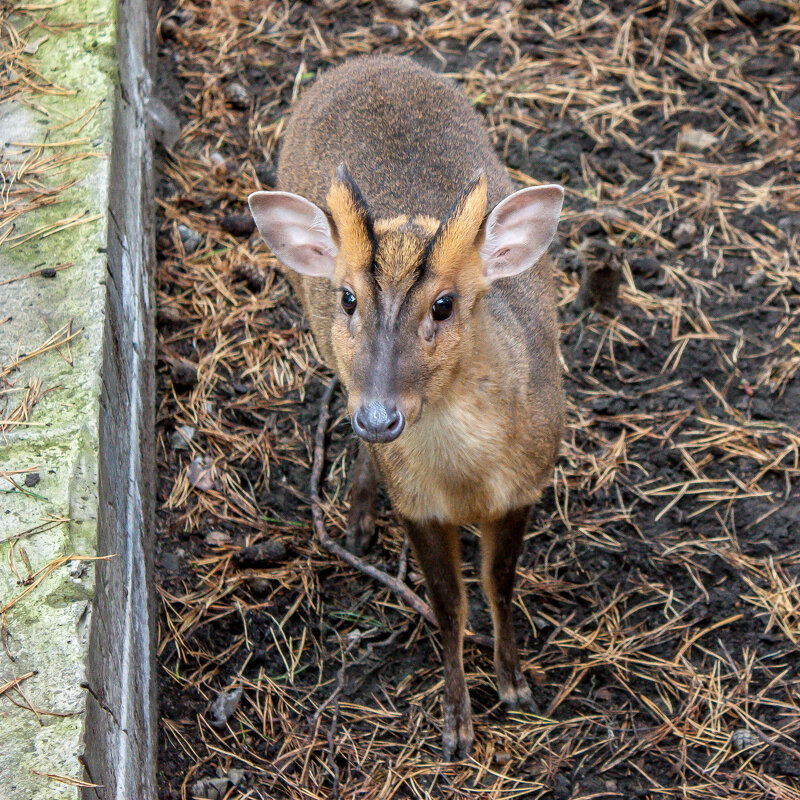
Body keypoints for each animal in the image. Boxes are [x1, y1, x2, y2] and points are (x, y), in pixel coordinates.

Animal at [247, 54, 564, 756]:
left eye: (444, 304)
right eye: (347, 298)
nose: (380, 416)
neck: (467, 481)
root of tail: (368, 61)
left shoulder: (526, 484)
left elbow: (498, 587)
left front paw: (515, 687)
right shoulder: (418, 504)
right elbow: (449, 608)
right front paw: (456, 726)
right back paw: (357, 520)